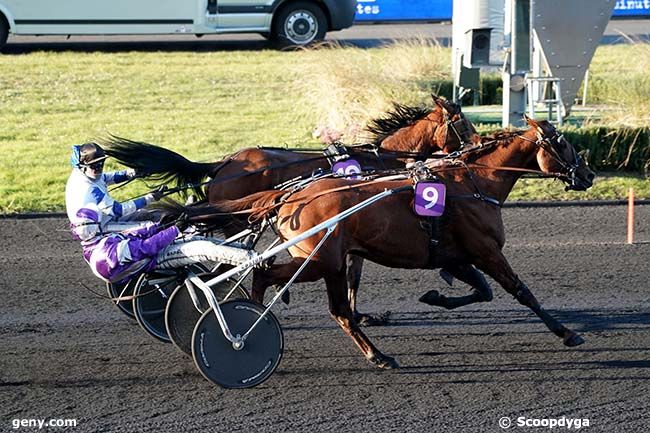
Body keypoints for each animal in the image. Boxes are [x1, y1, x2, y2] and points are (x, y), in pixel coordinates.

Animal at [101, 95, 476, 324]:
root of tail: (223, 163)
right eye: (465, 125)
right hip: (235, 221)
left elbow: (352, 274)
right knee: (223, 263)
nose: (476, 147)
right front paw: (359, 315)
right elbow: (352, 274)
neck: (382, 161)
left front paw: (358, 314)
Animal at [184, 117, 596, 368]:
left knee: (315, 298)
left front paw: (434, 296)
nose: (589, 174)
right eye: (563, 143)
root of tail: (290, 196)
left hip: (326, 261)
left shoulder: (455, 254)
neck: (475, 182)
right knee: (271, 277)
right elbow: (522, 292)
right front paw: (567, 333)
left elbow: (482, 291)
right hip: (320, 260)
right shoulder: (487, 251)